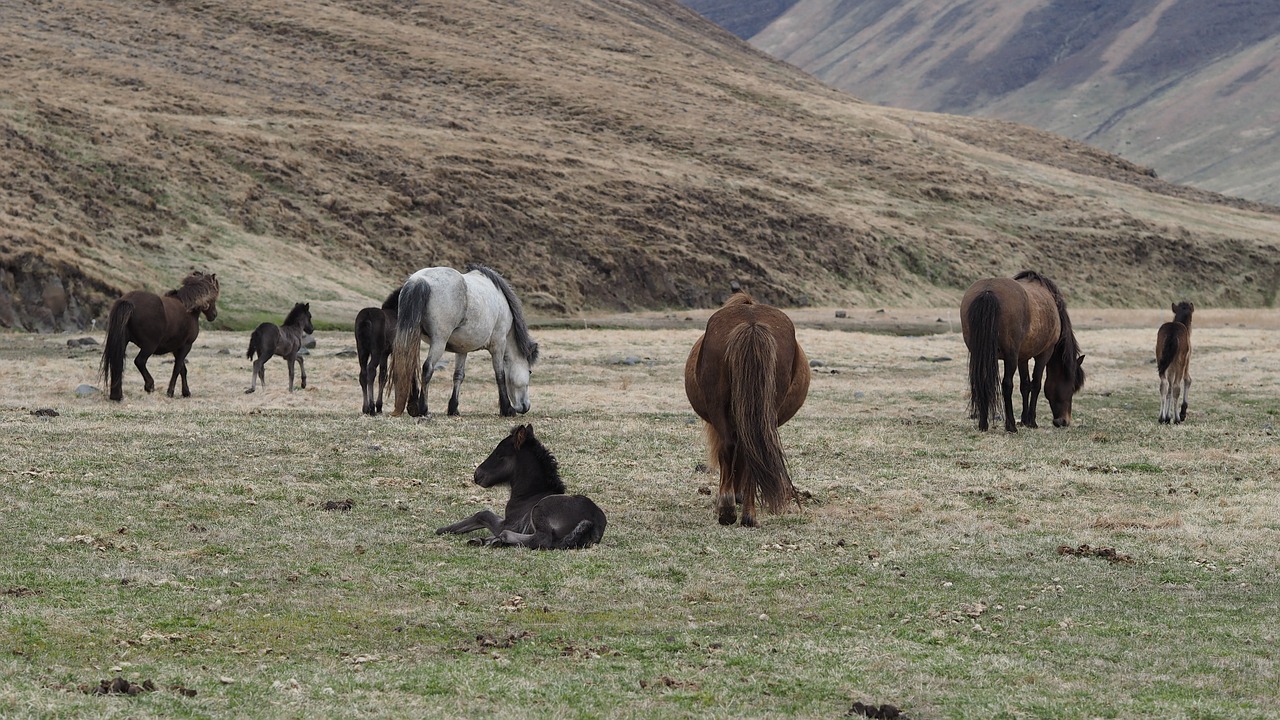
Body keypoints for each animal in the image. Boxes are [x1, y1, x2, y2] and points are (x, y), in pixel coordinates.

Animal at [98, 271, 221, 399]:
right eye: (214, 293)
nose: (214, 315)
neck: (188, 307)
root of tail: (129, 301)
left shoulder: (176, 348)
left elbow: (182, 369)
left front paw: (186, 392)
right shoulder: (186, 346)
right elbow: (177, 368)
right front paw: (170, 392)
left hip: (123, 342)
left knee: (117, 365)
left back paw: (117, 395)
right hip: (149, 346)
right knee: (139, 361)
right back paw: (149, 385)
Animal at [384, 263, 535, 415]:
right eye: (529, 372)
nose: (525, 407)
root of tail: (419, 280)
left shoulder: (462, 349)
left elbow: (458, 375)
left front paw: (453, 408)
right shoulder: (498, 345)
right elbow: (500, 375)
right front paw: (506, 408)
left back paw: (413, 407)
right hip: (439, 341)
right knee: (428, 368)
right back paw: (423, 408)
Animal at [435, 422, 604, 545]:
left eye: (500, 455)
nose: (477, 475)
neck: (529, 496)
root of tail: (593, 523)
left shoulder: (508, 524)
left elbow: (483, 514)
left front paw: (443, 529)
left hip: (539, 510)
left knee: (541, 539)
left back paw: (494, 540)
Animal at [962, 266, 1085, 427]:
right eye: (1072, 388)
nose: (1064, 421)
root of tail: (988, 291)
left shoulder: (1023, 357)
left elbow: (1025, 385)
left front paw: (1025, 419)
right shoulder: (1044, 353)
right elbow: (1036, 384)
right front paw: (1031, 420)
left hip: (981, 355)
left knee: (982, 381)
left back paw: (983, 424)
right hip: (1010, 357)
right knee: (1007, 385)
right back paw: (1011, 426)